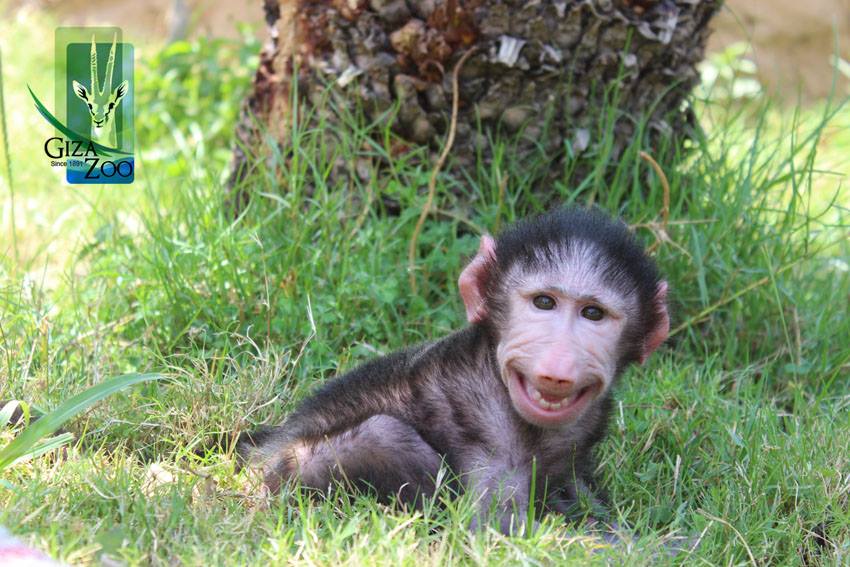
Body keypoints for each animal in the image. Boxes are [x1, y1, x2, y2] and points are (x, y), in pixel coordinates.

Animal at [239, 207, 670, 534]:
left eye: (593, 314)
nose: (559, 363)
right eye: (544, 303)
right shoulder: (492, 433)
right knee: (383, 434)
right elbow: (496, 531)